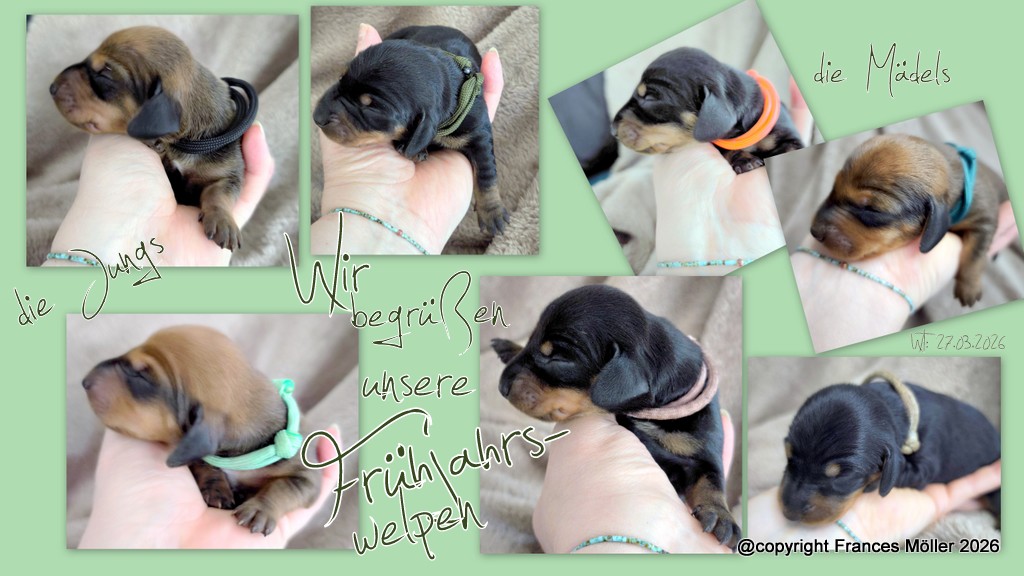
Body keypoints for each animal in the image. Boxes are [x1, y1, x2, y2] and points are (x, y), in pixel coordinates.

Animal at [51, 26, 258, 251]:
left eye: (105, 72)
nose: (51, 87)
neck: (183, 142)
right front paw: (154, 145)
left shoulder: (228, 172)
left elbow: (219, 193)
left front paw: (223, 222)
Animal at [81, 325, 320, 536]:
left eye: (141, 375)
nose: (85, 381)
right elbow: (203, 463)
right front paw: (216, 488)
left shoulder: (306, 477)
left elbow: (284, 487)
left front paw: (259, 509)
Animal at [313, 25, 508, 235]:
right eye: (340, 78)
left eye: (371, 108)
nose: (316, 117)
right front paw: (413, 150)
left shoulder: (478, 132)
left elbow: (486, 173)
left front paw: (492, 214)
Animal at [491, 284, 740, 549]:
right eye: (531, 338)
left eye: (558, 358)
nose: (502, 387)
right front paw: (509, 347)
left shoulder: (705, 444)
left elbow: (712, 479)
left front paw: (721, 517)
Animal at [810, 134, 1008, 306]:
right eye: (833, 187)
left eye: (872, 209)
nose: (814, 232)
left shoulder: (984, 218)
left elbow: (975, 253)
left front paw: (968, 288)